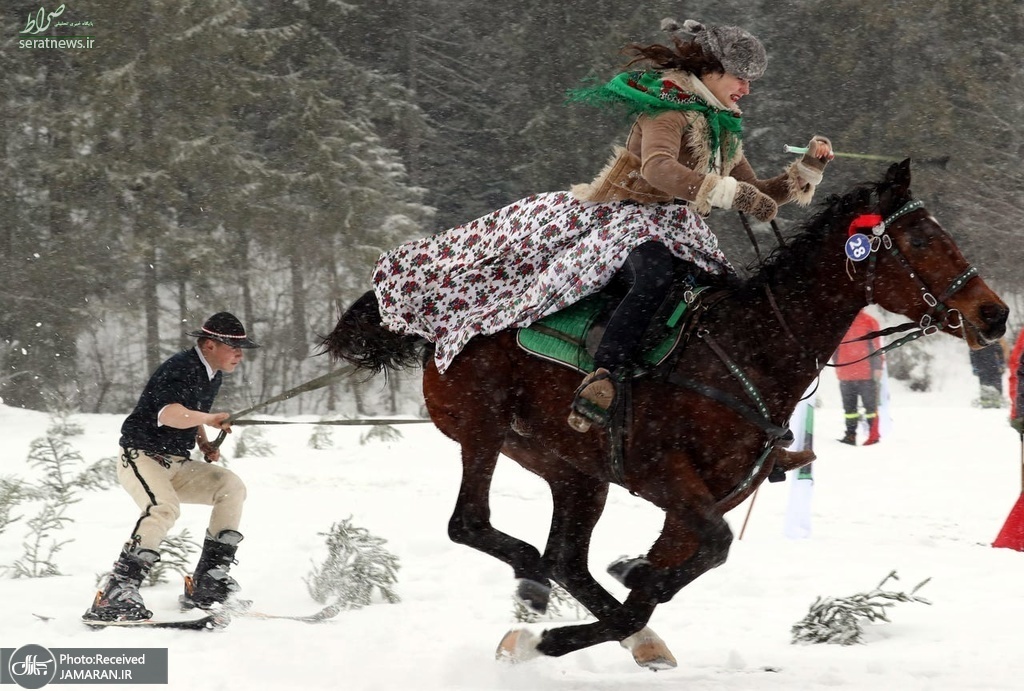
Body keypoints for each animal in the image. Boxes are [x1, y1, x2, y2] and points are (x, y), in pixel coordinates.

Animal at [321, 160, 1007, 671]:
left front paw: (627, 589)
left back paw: (587, 612)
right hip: (485, 433)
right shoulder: (667, 479)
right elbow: (699, 560)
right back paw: (536, 592)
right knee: (473, 525)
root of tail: (432, 323)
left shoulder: (697, 502)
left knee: (565, 556)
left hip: (574, 469)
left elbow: (674, 574)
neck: (748, 347)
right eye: (923, 239)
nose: (995, 314)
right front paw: (565, 630)